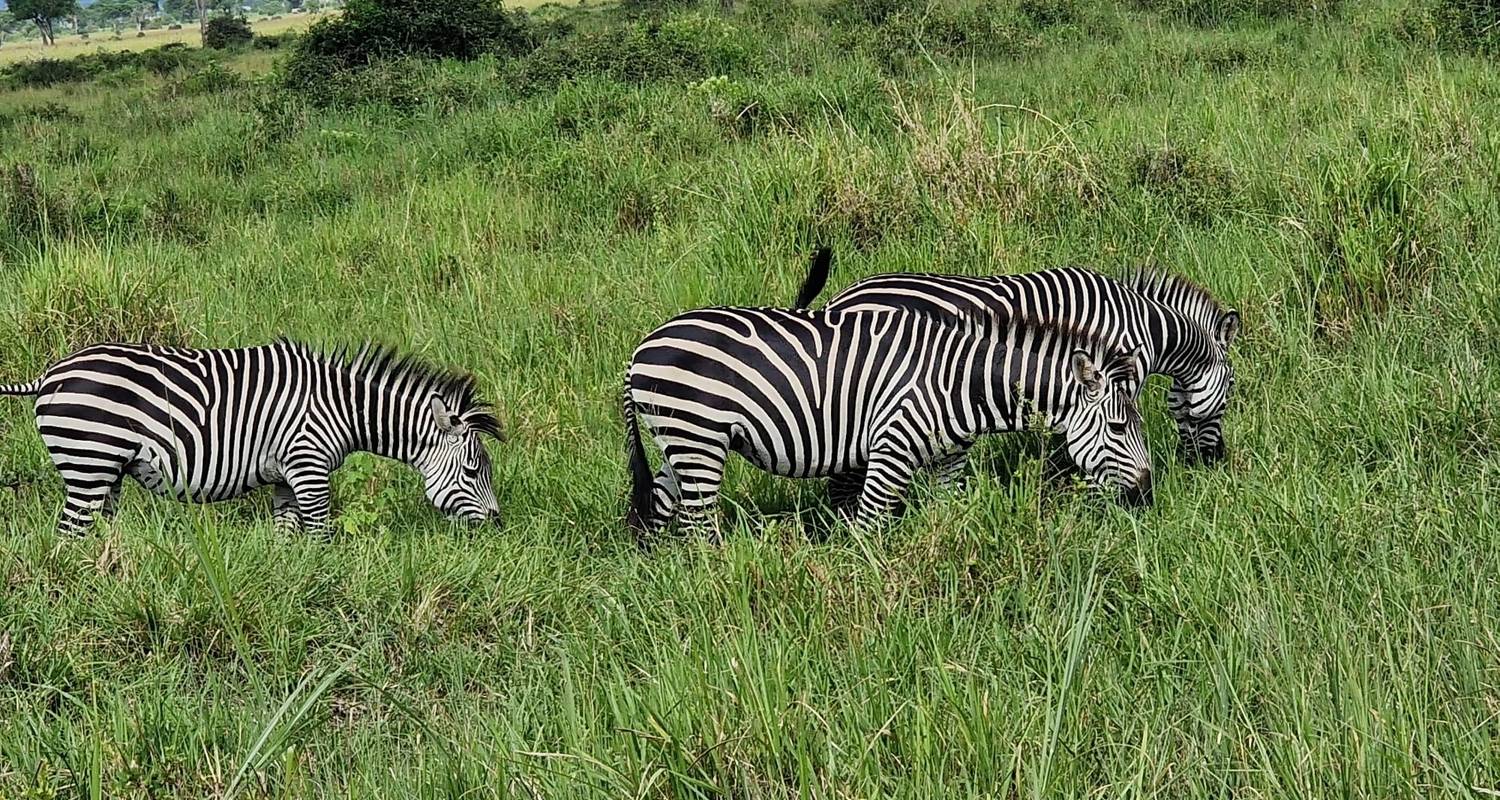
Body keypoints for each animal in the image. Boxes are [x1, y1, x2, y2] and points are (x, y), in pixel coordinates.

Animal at [0, 337, 504, 534]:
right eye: (472, 470)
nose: (499, 524)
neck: (341, 408)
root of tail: (49, 375)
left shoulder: (285, 477)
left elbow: (288, 540)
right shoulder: (308, 466)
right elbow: (321, 535)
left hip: (108, 475)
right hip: (87, 465)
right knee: (67, 538)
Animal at [621, 304, 1146, 537]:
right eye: (1119, 429)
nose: (1147, 494)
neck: (960, 382)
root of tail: (640, 349)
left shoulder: (948, 459)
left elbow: (945, 519)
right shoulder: (890, 448)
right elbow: (868, 529)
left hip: (678, 442)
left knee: (660, 513)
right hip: (697, 439)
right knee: (697, 529)